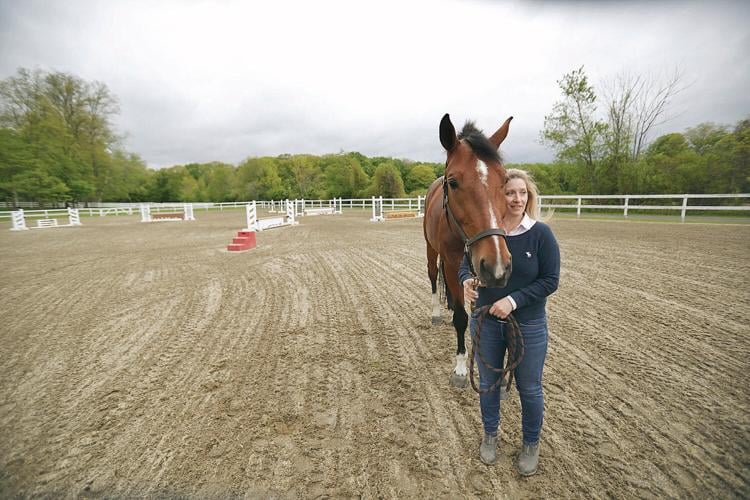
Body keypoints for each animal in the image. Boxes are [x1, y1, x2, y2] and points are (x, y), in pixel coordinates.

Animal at [423, 113, 514, 388]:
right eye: (453, 182)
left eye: (504, 181)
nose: (499, 265)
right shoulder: (454, 263)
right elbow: (462, 319)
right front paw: (461, 368)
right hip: (431, 250)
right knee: (433, 277)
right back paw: (437, 312)